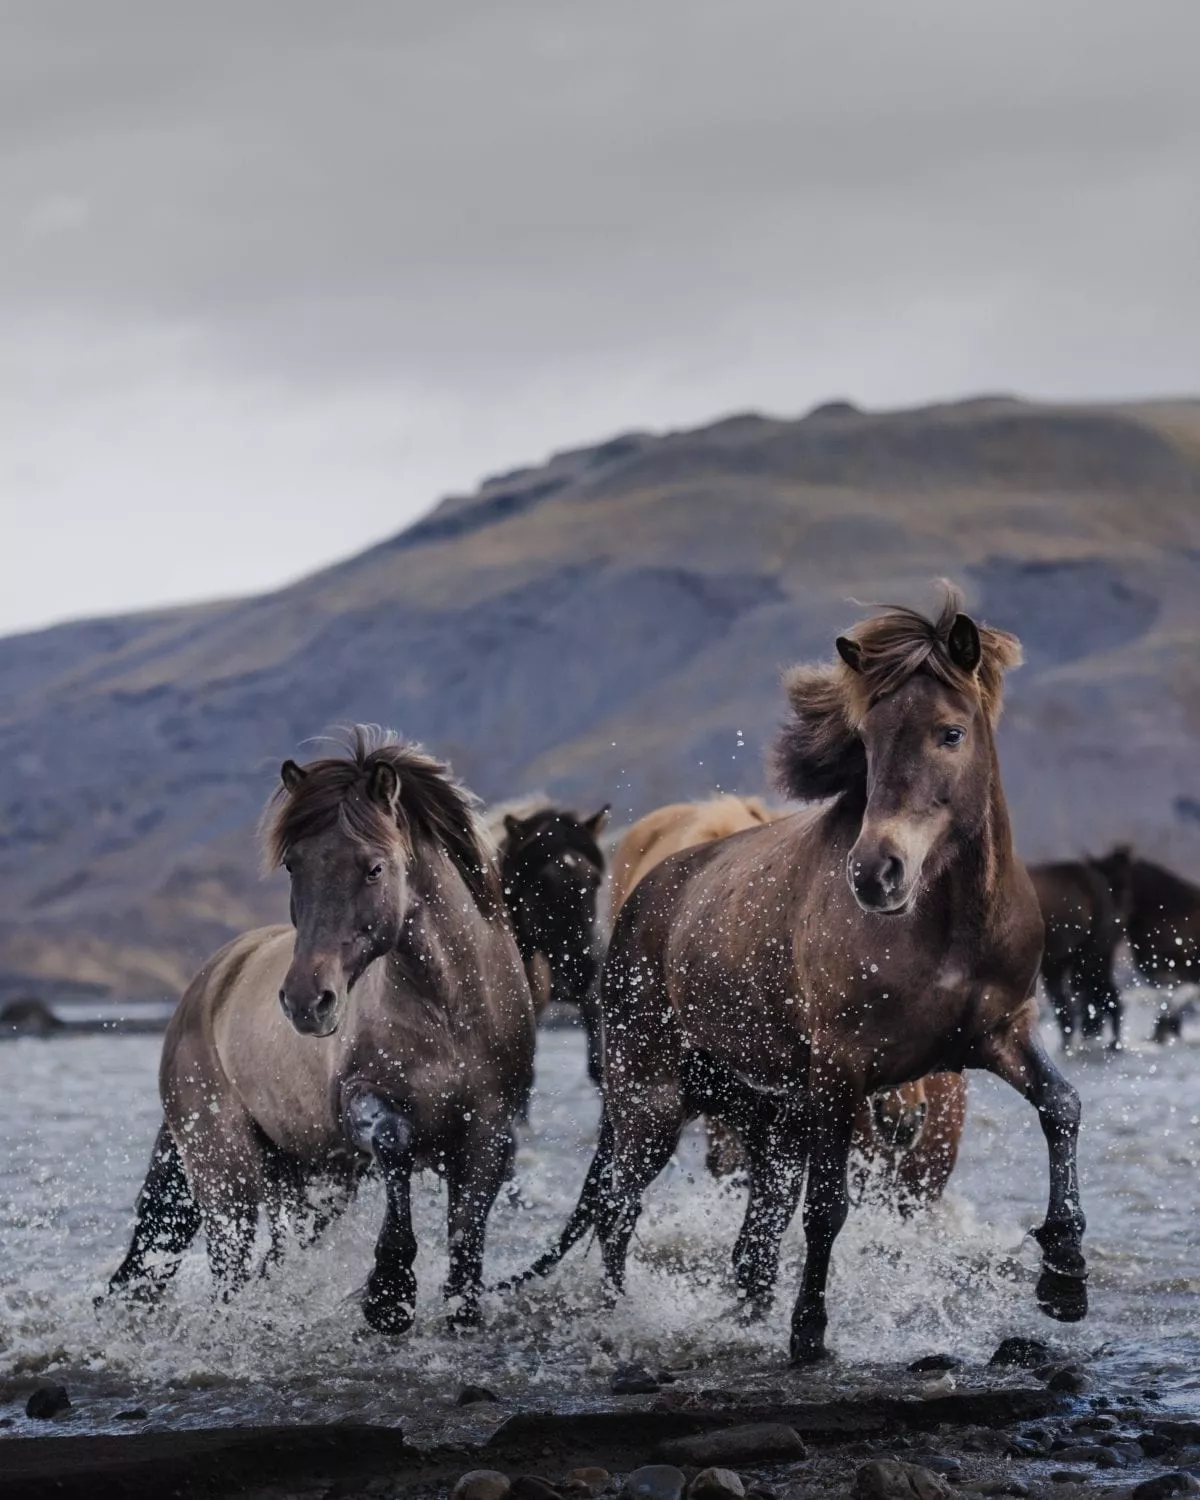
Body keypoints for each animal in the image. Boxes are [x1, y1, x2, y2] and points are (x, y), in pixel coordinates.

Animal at [109, 729, 535, 1334]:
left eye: (375, 868)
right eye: (294, 866)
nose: (308, 1003)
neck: (449, 1011)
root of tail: (208, 981)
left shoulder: (489, 1134)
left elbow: (467, 1239)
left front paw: (458, 1310)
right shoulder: (362, 1102)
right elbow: (394, 1144)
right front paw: (389, 1294)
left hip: (308, 1182)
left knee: (273, 1262)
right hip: (225, 1175)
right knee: (230, 1275)